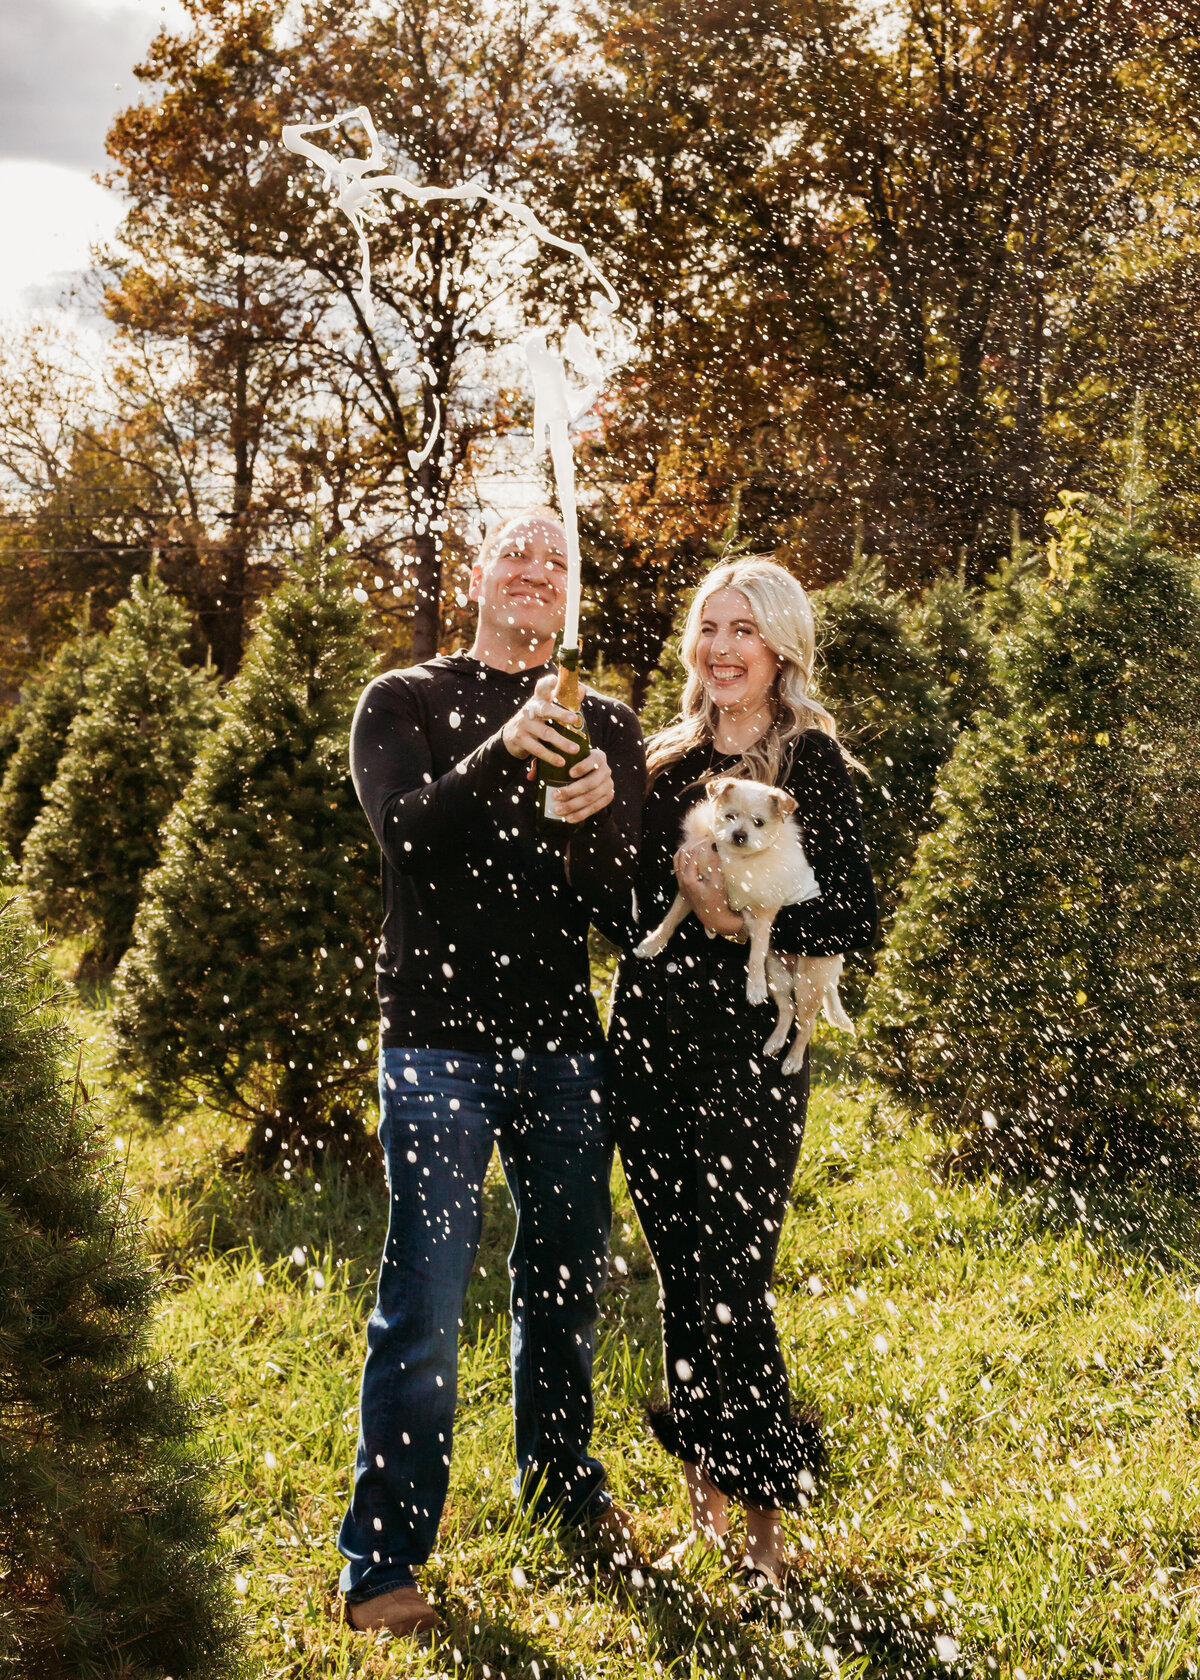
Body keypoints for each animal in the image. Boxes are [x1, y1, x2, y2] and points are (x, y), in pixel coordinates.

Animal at [635, 776, 850, 1075]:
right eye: (730, 817)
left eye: (759, 822)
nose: (738, 834)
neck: (737, 859)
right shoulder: (689, 893)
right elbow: (671, 919)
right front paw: (652, 944)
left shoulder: (762, 915)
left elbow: (755, 952)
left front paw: (754, 987)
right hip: (779, 974)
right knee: (788, 1009)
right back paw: (774, 1043)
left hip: (808, 983)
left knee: (807, 1023)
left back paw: (793, 1060)